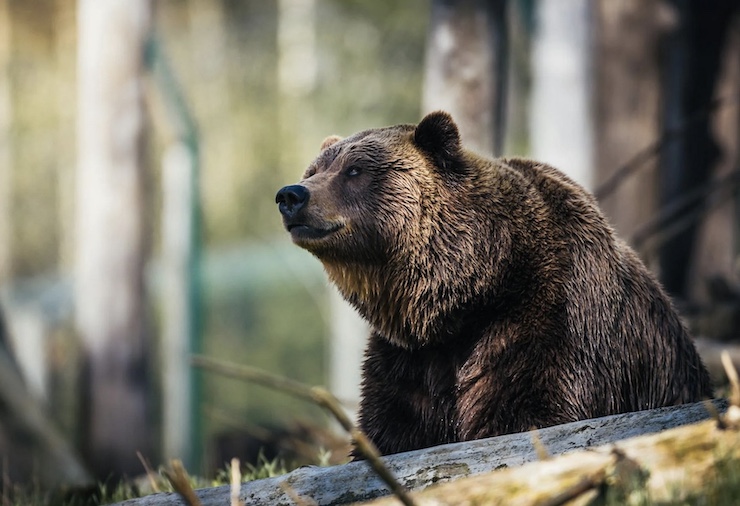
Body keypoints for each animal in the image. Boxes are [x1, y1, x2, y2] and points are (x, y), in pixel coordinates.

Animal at [276, 111, 712, 458]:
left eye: (354, 170)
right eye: (314, 170)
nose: (291, 195)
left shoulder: (549, 321)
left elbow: (528, 411)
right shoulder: (409, 359)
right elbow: (393, 428)